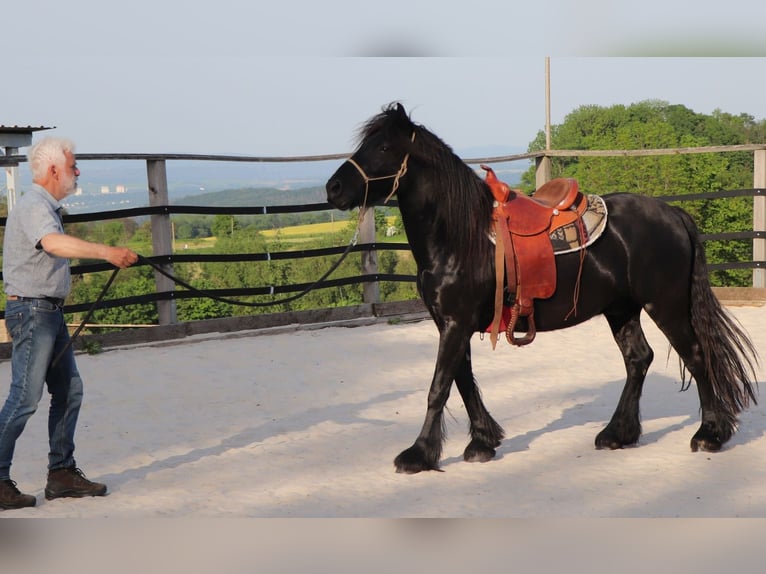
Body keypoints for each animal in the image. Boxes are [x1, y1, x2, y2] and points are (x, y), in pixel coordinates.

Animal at [322, 103, 756, 476]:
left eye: (383, 147)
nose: (334, 187)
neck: (459, 238)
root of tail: (673, 213)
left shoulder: (456, 324)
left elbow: (438, 388)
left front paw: (419, 454)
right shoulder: (451, 324)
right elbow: (462, 382)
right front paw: (483, 442)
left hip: (664, 304)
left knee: (696, 356)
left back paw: (709, 435)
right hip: (621, 309)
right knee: (639, 359)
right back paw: (618, 433)